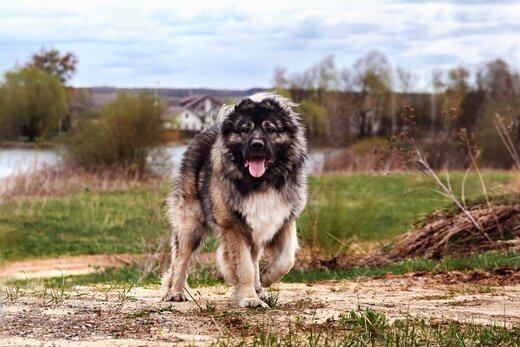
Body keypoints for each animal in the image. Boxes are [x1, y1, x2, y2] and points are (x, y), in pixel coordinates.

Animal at [162, 92, 306, 308]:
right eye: (245, 130)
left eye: (270, 129)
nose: (257, 145)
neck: (260, 183)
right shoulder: (233, 227)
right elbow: (243, 266)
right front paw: (249, 298)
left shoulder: (282, 220)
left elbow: (286, 259)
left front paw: (265, 279)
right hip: (191, 223)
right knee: (181, 258)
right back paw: (176, 292)